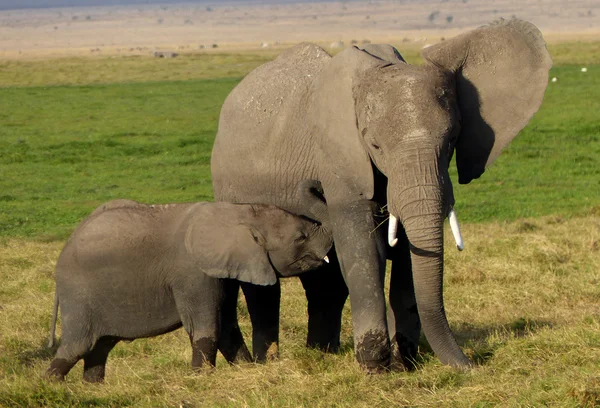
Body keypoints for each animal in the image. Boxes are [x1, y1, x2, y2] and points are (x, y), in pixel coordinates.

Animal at [45, 198, 332, 382]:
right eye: (301, 237)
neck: (240, 213)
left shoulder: (222, 270)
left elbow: (227, 327)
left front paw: (245, 370)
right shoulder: (193, 273)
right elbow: (205, 326)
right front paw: (202, 378)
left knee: (100, 347)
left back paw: (92, 386)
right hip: (79, 295)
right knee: (78, 345)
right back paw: (52, 385)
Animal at [211, 18, 552, 370]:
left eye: (452, 139)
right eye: (375, 146)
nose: (471, 364)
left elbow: (407, 255)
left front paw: (406, 362)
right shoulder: (339, 156)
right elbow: (363, 248)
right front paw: (376, 367)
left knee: (326, 284)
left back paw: (321, 353)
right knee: (264, 284)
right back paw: (267, 361)